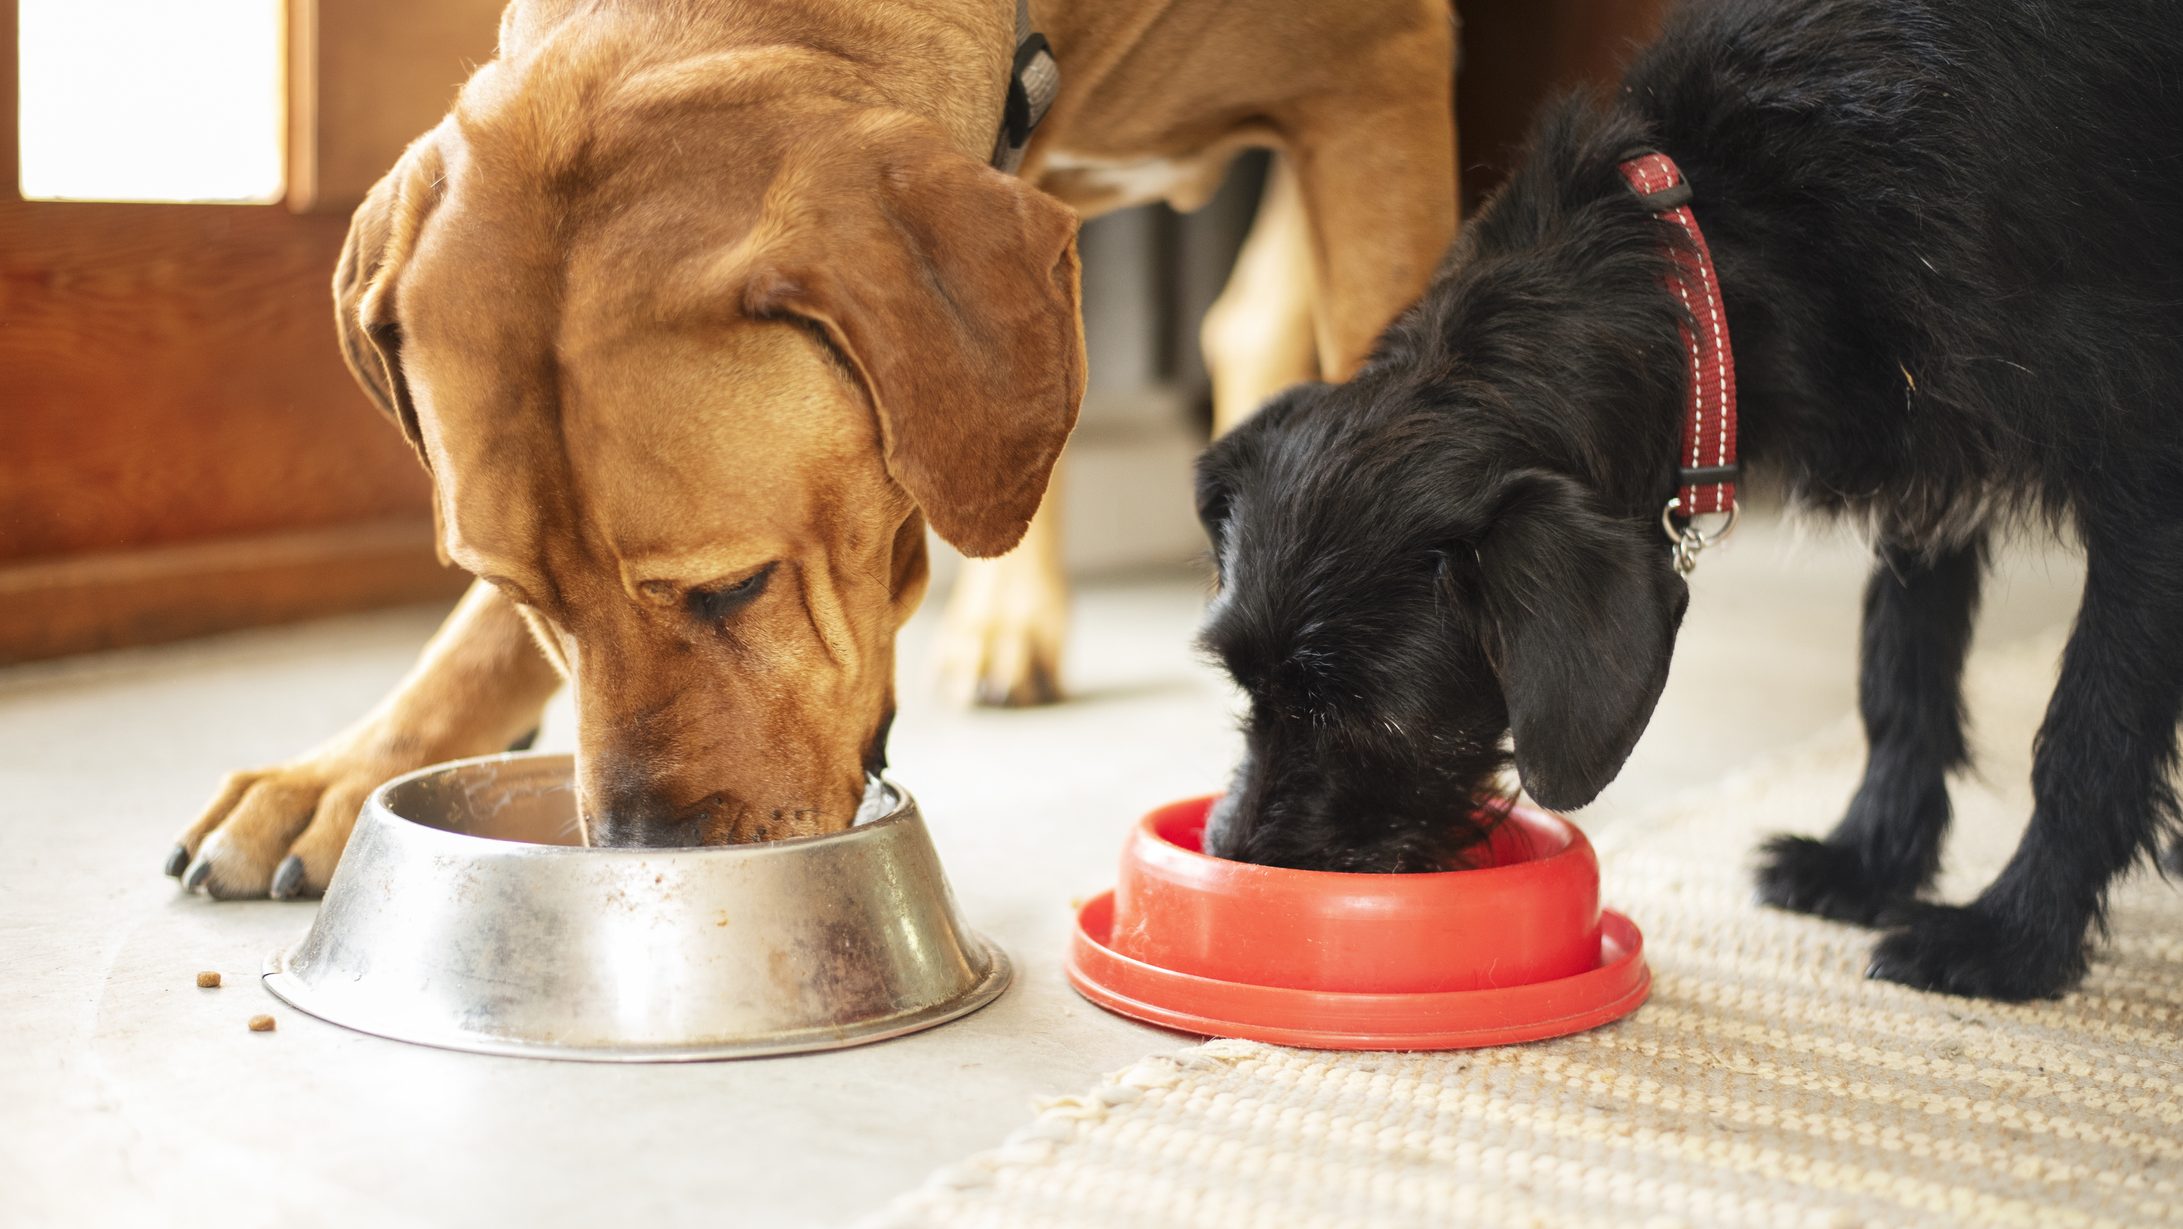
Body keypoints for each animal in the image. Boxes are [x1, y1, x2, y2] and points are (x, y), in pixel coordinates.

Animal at [1196, 0, 2183, 1004]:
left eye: (1369, 715)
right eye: (1244, 685)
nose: (1236, 857)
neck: (1726, 235)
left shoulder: (2146, 477)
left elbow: (2085, 732)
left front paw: (2012, 936)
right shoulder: (1927, 456)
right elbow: (1900, 665)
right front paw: (1868, 860)